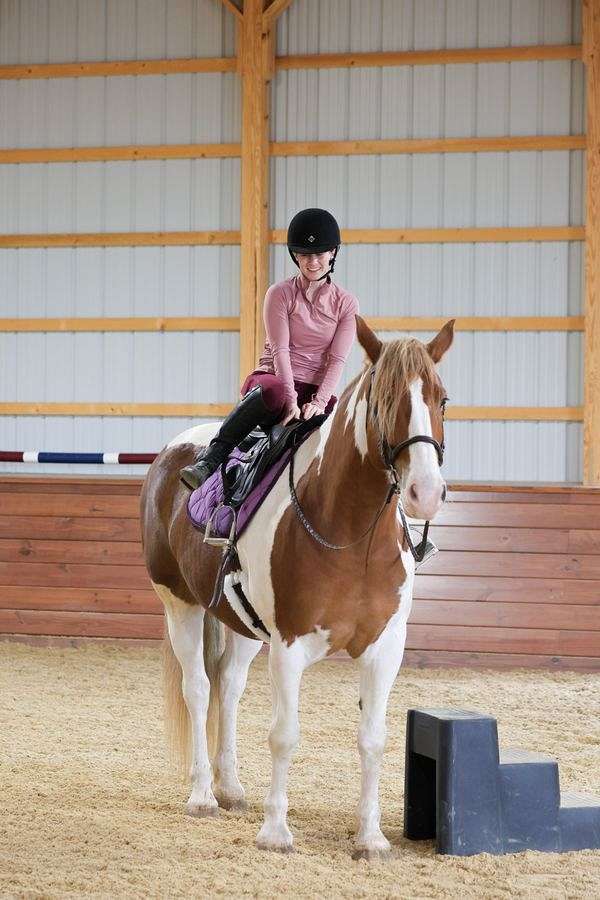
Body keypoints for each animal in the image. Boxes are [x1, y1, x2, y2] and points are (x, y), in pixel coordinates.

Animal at [140, 315, 454, 858]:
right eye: (385, 398)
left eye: (442, 398)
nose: (425, 493)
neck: (351, 535)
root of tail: (175, 452)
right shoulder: (289, 645)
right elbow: (284, 734)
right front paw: (275, 832)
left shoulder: (385, 648)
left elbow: (373, 738)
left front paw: (370, 838)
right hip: (180, 605)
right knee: (198, 688)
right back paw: (202, 795)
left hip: (242, 626)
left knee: (228, 686)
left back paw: (231, 788)